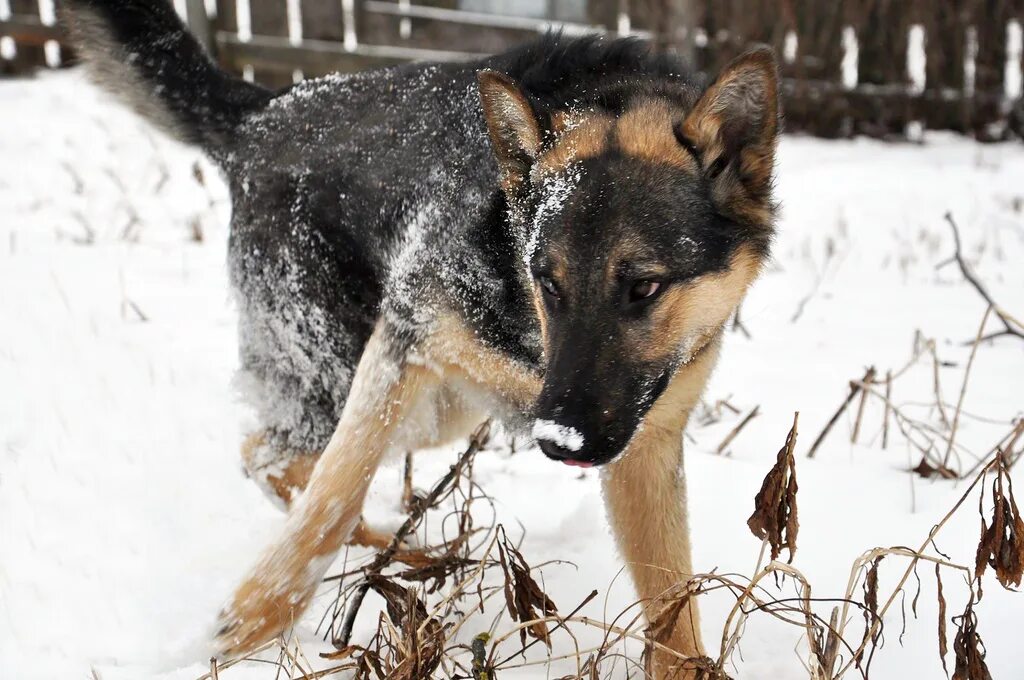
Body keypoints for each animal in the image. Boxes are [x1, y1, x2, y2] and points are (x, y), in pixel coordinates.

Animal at [66, 1, 774, 675]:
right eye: (547, 281)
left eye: (645, 288)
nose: (559, 441)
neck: (525, 323)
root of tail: (265, 112)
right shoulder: (403, 342)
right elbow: (334, 494)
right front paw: (258, 613)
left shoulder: (642, 440)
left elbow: (672, 601)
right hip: (353, 377)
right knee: (276, 458)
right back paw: (394, 552)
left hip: (443, 412)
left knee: (280, 460)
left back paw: (407, 551)